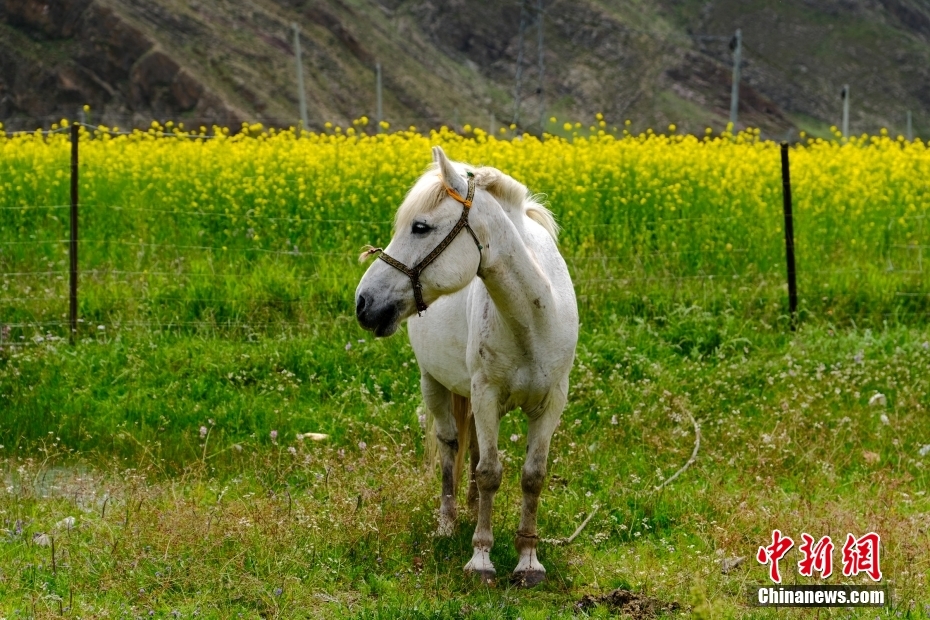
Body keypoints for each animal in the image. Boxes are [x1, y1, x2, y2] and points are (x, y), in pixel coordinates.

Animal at [355, 145, 578, 585]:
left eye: (420, 227)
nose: (363, 302)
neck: (534, 317)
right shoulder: (485, 393)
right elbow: (491, 471)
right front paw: (481, 558)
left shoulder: (551, 403)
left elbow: (532, 476)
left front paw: (528, 559)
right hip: (435, 383)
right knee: (452, 445)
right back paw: (449, 522)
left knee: (473, 449)